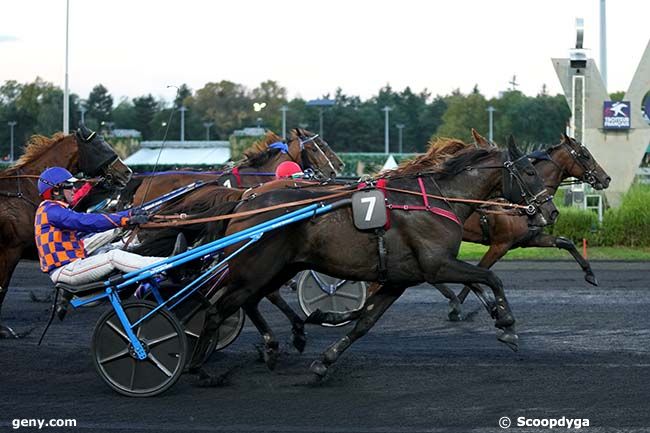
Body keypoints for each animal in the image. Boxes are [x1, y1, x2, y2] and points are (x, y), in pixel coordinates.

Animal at [185, 138, 560, 378]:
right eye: (529, 172)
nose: (551, 211)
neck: (435, 199)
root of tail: (244, 199)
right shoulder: (436, 265)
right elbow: (490, 277)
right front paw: (507, 325)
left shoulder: (400, 278)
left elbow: (365, 321)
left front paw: (326, 360)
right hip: (256, 268)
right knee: (218, 307)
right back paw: (199, 366)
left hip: (277, 268)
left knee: (246, 301)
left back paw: (276, 344)